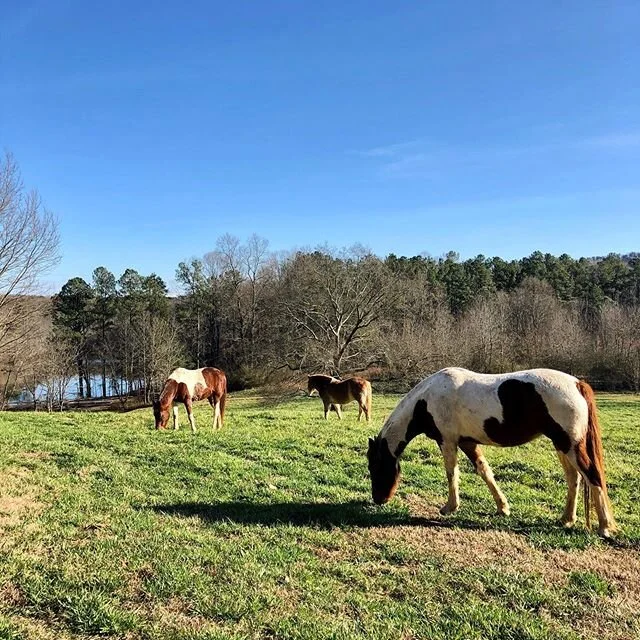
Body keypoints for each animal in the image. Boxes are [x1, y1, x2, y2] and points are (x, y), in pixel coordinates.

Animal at [367, 367, 616, 537]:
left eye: (374, 467)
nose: (379, 499)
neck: (426, 400)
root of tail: (577, 383)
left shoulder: (447, 441)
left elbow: (451, 473)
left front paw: (449, 507)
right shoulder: (467, 442)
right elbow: (484, 471)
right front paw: (502, 507)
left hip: (570, 445)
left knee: (592, 476)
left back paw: (604, 527)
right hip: (562, 445)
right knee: (574, 479)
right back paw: (566, 519)